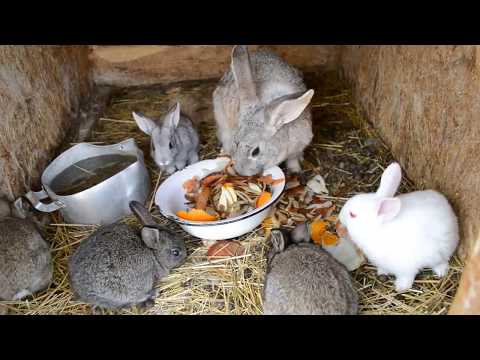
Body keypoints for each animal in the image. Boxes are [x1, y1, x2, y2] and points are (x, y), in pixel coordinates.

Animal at [214, 45, 316, 176]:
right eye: (236, 142)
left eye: (256, 151)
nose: (241, 171)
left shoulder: (298, 146)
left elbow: (293, 159)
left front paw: (295, 169)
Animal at [336, 162, 460, 292]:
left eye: (352, 215)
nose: (340, 217)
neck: (378, 230)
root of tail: (449, 210)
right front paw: (382, 272)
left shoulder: (406, 267)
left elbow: (406, 278)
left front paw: (400, 287)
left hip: (441, 251)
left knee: (441, 261)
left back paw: (441, 271)